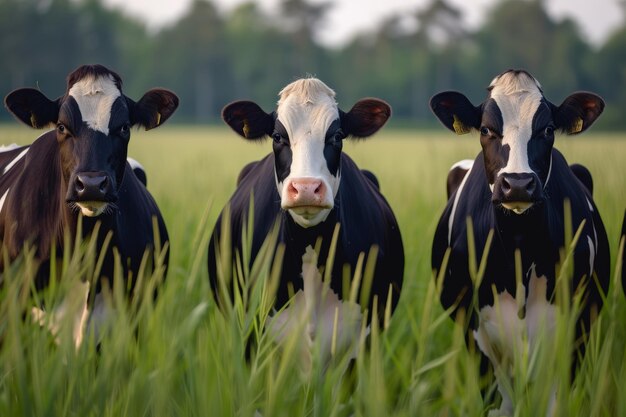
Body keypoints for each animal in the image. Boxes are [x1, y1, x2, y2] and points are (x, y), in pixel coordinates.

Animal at [426, 68, 608, 412]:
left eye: (547, 129)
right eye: (486, 128)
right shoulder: (477, 333)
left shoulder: (574, 329)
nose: (518, 184)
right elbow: (499, 405)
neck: (519, 252)